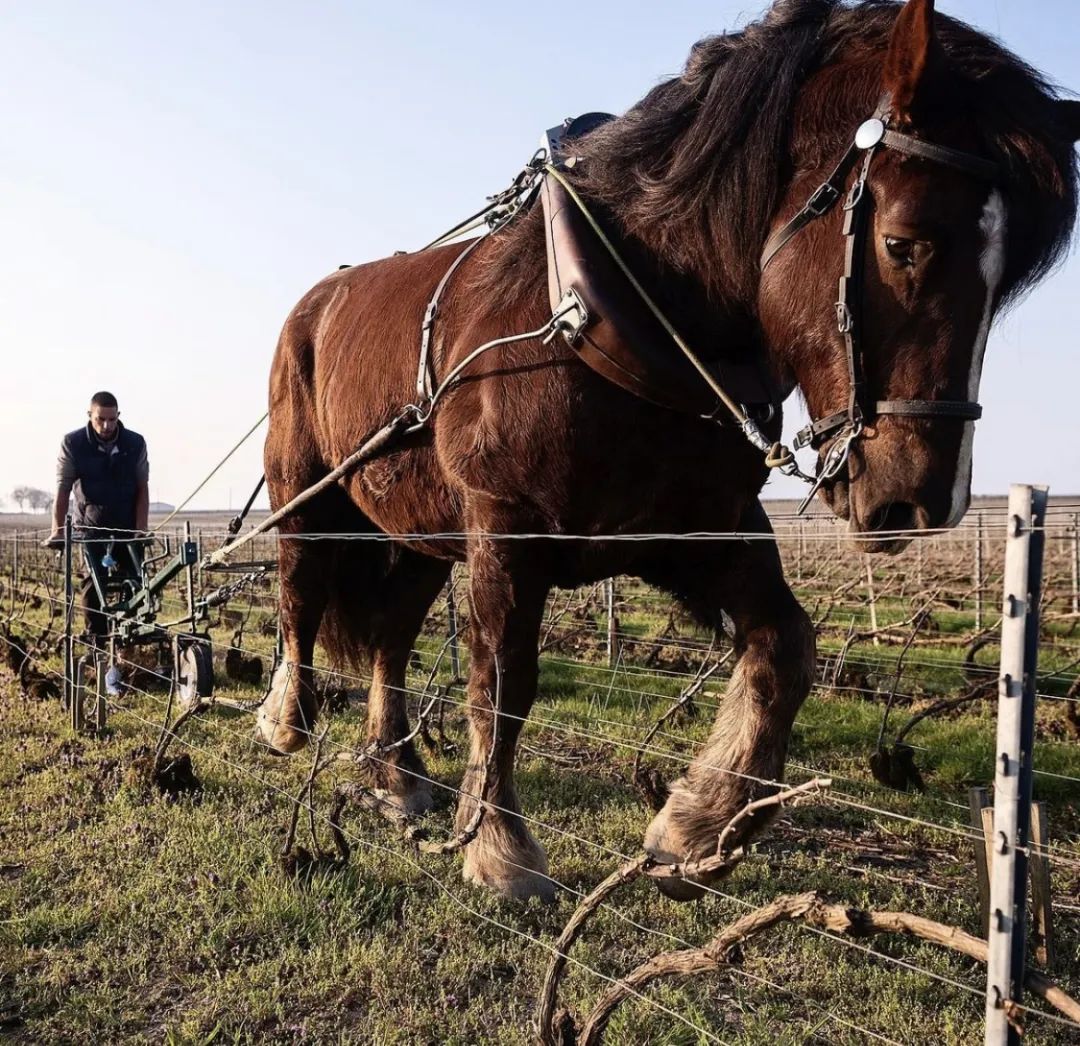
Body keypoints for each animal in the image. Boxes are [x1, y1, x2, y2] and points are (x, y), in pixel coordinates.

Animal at [257, 0, 1075, 898]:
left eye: (1005, 284)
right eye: (906, 244)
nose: (923, 501)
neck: (611, 316)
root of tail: (317, 299)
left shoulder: (698, 527)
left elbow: (786, 647)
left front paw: (696, 827)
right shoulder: (506, 526)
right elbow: (502, 680)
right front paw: (502, 849)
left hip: (417, 531)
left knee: (391, 638)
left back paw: (397, 775)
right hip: (306, 489)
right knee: (299, 590)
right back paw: (286, 718)